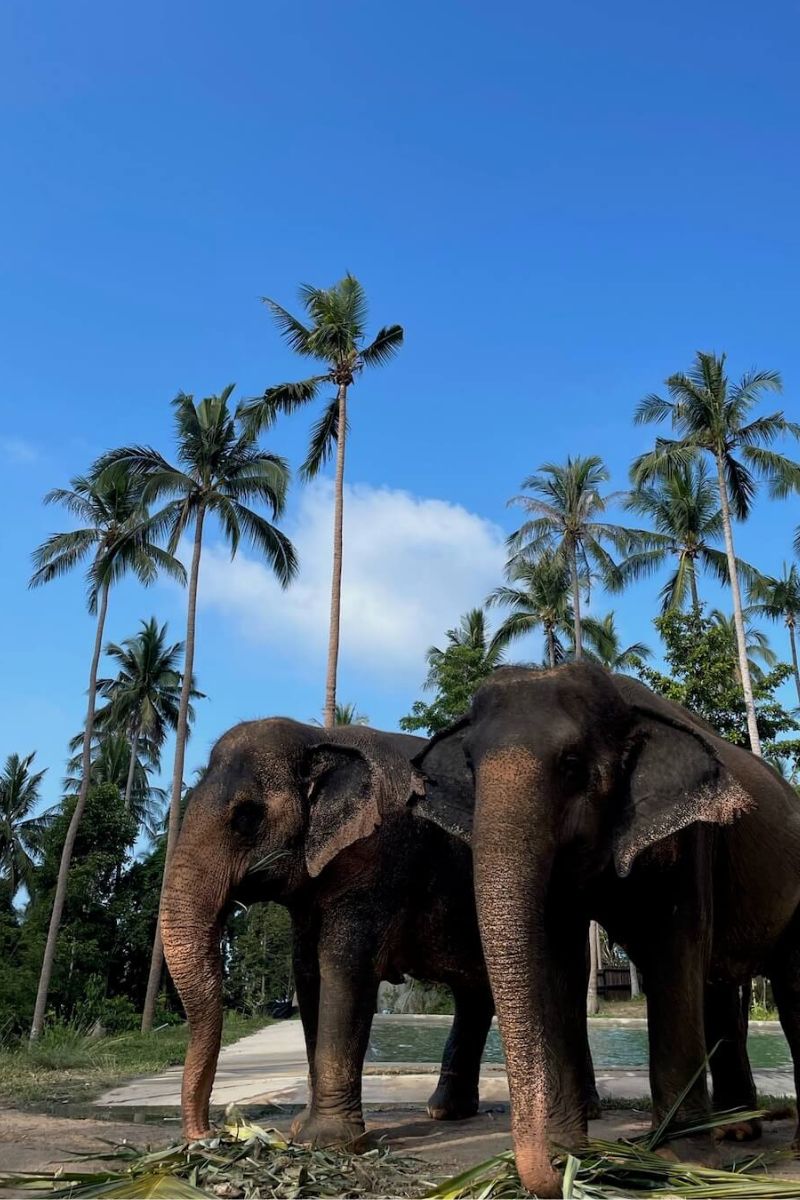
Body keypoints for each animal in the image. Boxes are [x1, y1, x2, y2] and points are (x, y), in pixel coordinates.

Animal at [160, 717, 496, 1146]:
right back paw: (445, 1113)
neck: (318, 738)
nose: (208, 1133)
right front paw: (302, 1129)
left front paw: (328, 1142)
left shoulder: (378, 859)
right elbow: (308, 973)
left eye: (246, 818)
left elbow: (344, 969)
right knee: (474, 995)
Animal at [411, 661, 800, 1197]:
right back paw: (737, 1131)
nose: (550, 1173)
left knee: (790, 992)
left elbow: (673, 958)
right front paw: (569, 1154)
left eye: (572, 764)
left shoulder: (688, 840)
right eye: (469, 765)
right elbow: (559, 966)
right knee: (722, 991)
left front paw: (680, 1160)